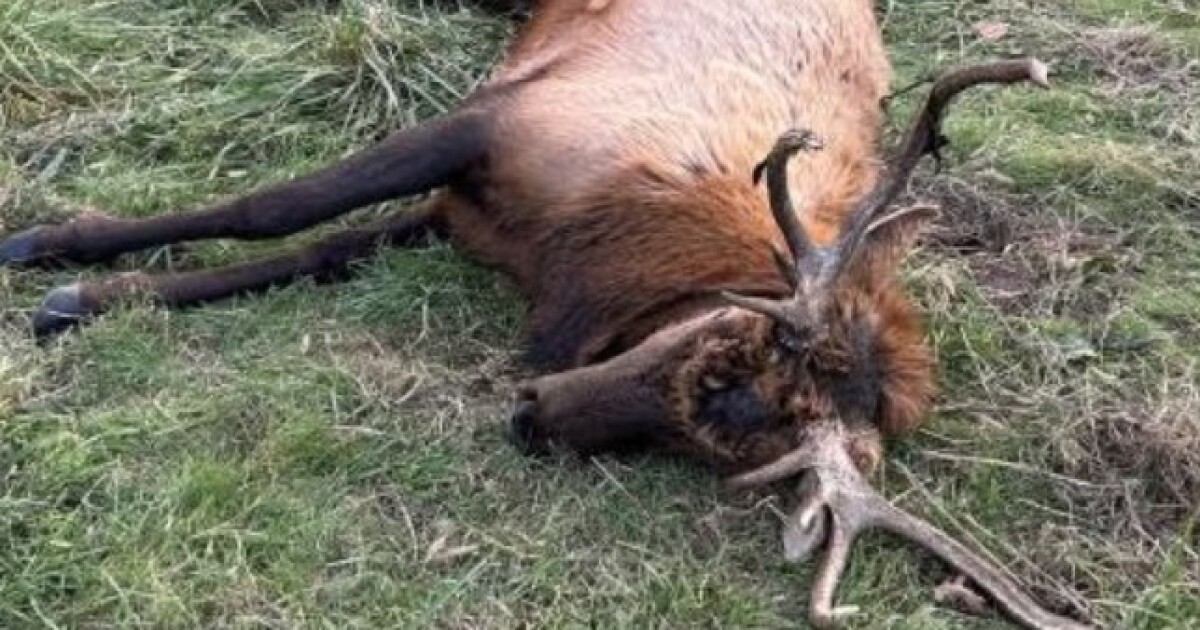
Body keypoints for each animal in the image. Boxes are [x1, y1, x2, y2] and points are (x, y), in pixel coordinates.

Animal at [1, 1, 1090, 628]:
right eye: (713, 352)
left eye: (719, 452)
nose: (532, 415)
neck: (588, 251)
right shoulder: (492, 126)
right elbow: (271, 206)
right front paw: (48, 245)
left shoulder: (469, 218)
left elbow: (311, 252)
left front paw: (88, 296)